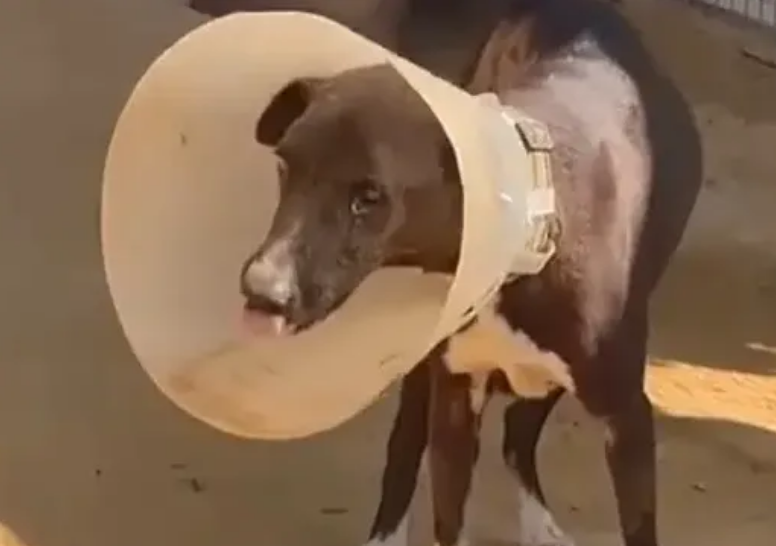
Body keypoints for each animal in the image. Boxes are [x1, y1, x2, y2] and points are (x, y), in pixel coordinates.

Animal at [228, 0, 702, 545]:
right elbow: (446, 513)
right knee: (411, 444)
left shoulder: (626, 417)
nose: (259, 290)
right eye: (285, 168)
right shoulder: (454, 400)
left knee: (518, 433)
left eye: (369, 197)